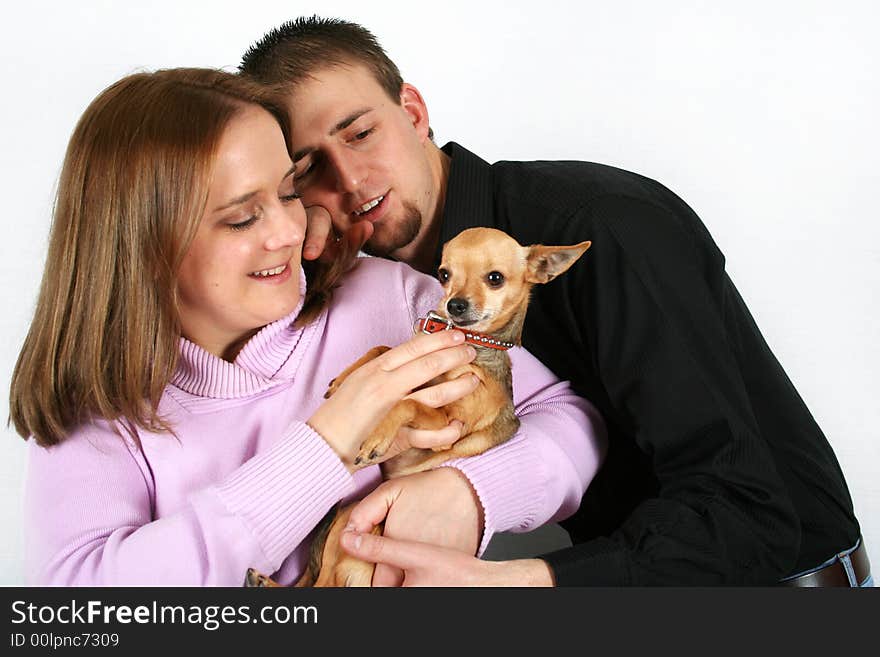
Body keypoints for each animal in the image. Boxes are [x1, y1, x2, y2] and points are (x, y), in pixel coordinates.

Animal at [246, 228, 592, 588]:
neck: (466, 344)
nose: (455, 305)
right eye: (444, 274)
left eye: (495, 278)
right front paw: (345, 379)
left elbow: (407, 401)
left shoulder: (447, 426)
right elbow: (382, 349)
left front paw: (377, 435)